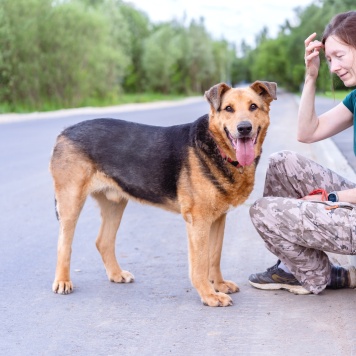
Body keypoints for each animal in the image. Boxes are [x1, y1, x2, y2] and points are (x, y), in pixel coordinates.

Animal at [50, 80, 276, 306]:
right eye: (228, 108)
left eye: (253, 107)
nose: (244, 128)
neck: (218, 148)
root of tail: (64, 131)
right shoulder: (199, 221)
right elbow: (201, 263)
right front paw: (209, 294)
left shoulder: (218, 218)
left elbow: (215, 255)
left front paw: (219, 285)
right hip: (71, 202)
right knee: (63, 244)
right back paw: (62, 281)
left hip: (115, 204)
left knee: (103, 242)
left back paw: (116, 274)